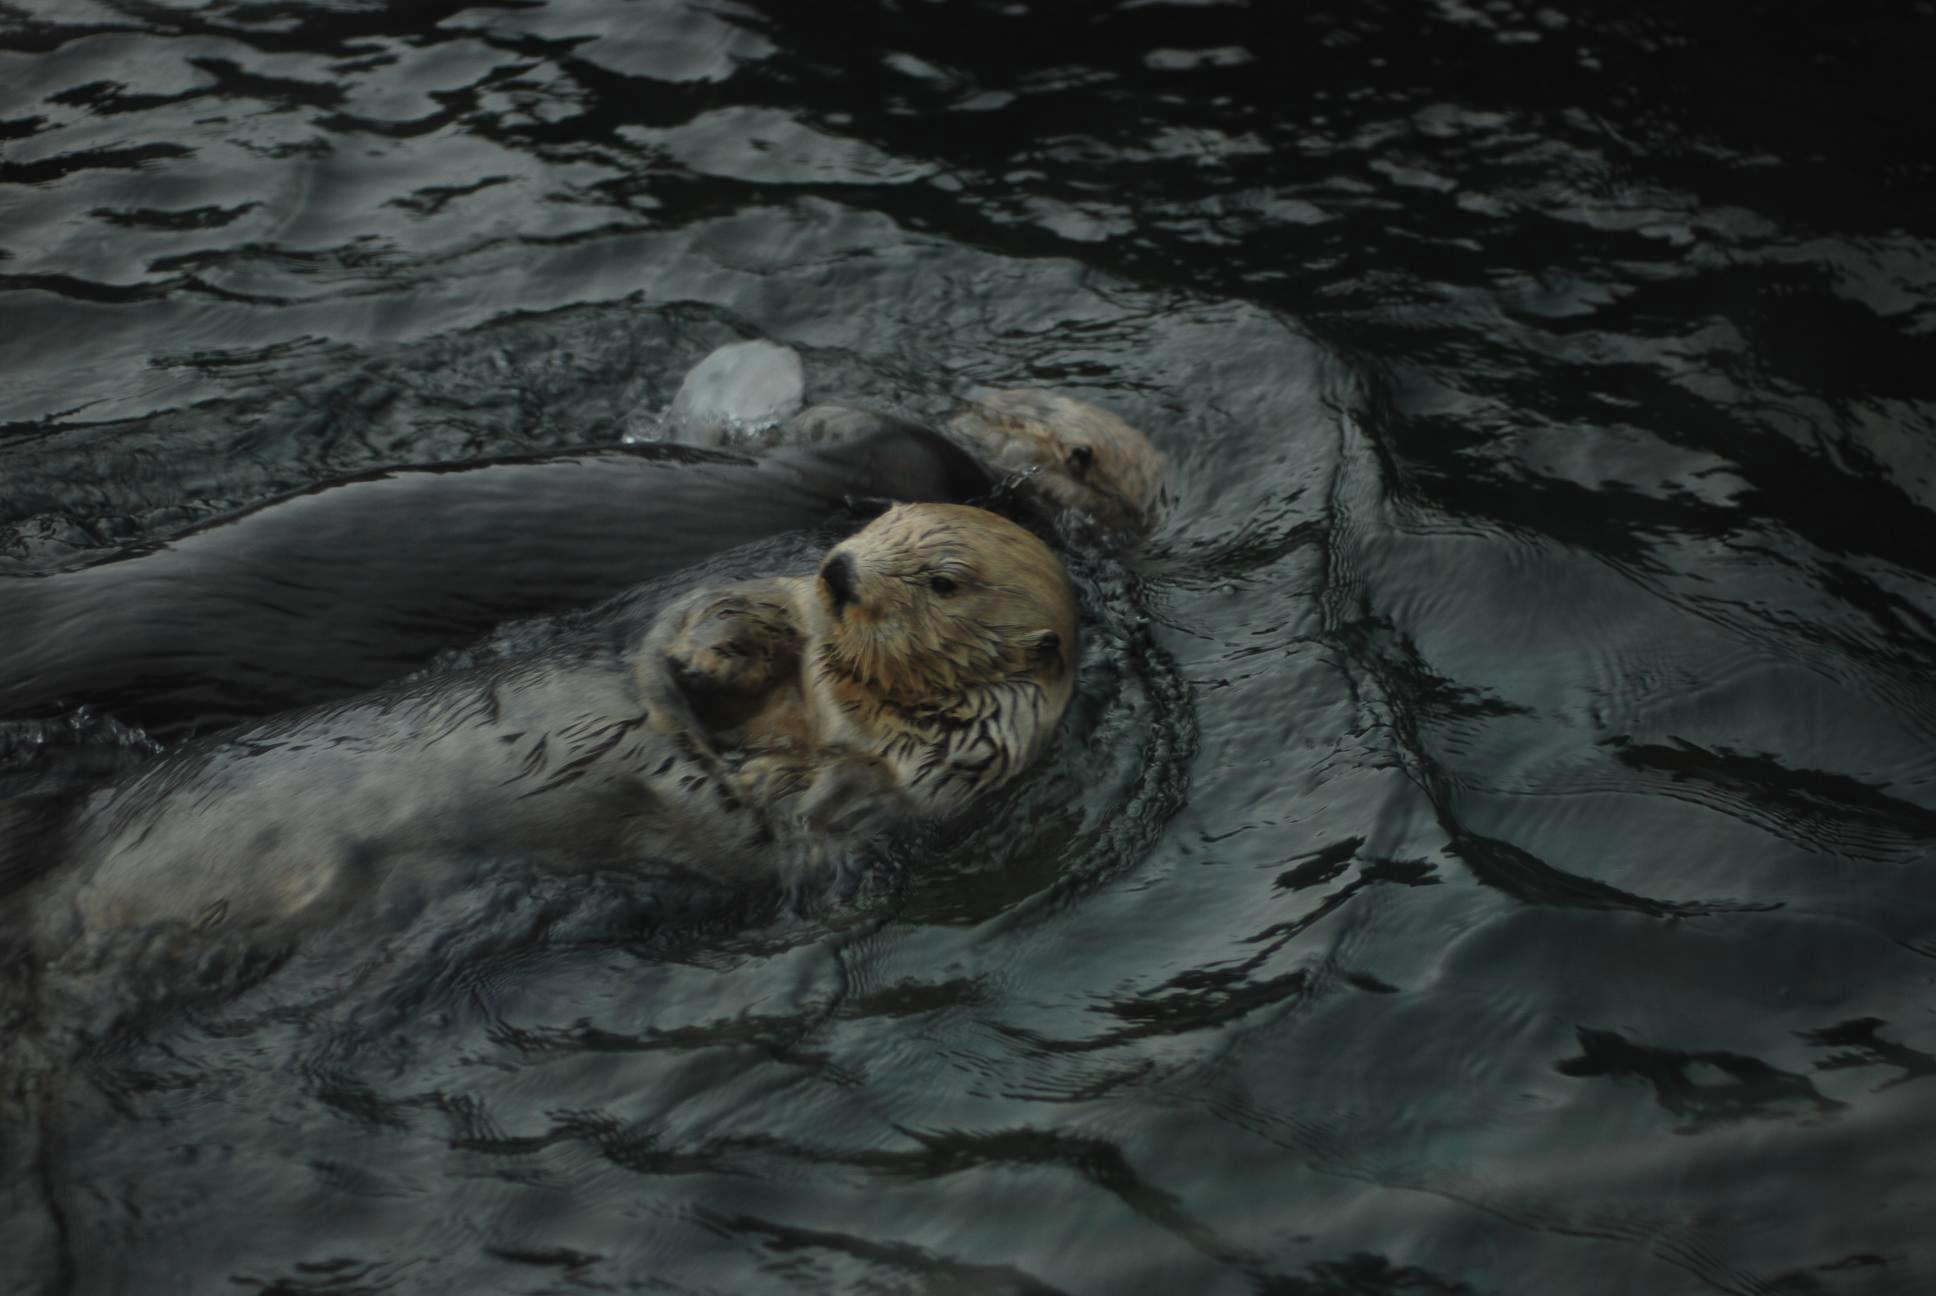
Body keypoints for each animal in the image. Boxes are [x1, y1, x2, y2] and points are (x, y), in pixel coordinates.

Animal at [18, 503, 1076, 968]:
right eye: (879, 518)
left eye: (944, 580)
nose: (841, 571)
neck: (826, 700)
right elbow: (694, 629)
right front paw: (718, 645)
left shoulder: (907, 785)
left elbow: (784, 816)